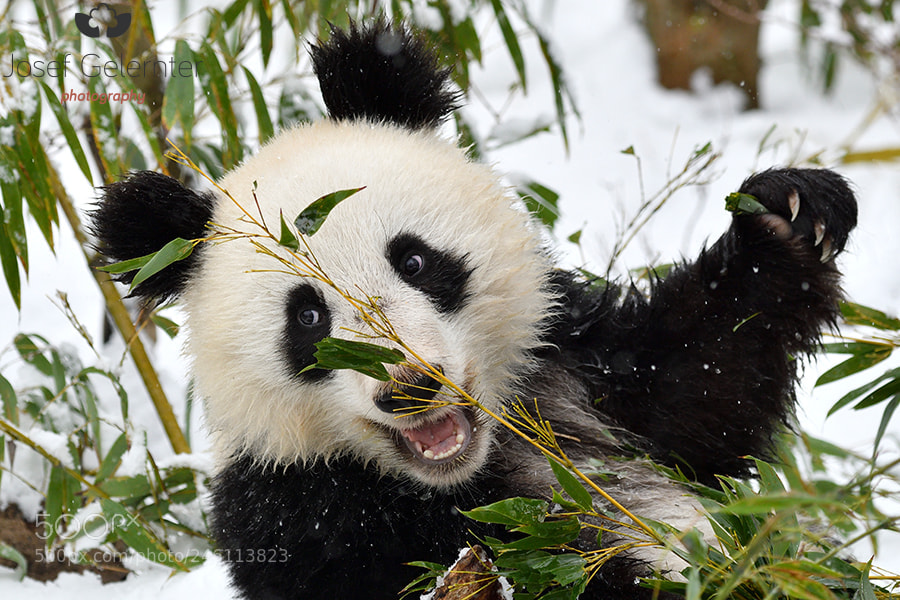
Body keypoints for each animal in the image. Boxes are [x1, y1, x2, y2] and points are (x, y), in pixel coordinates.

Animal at [90, 21, 857, 600]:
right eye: (306, 318)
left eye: (414, 261)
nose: (410, 386)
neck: (471, 466)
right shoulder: (304, 513)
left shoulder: (575, 371)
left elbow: (702, 385)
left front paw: (788, 214)